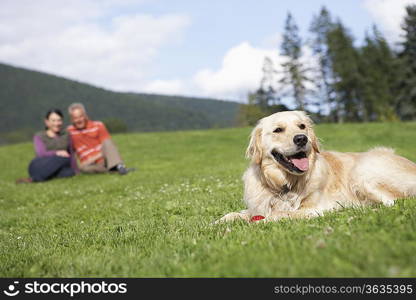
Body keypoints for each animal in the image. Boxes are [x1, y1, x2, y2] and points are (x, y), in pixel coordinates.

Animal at [218, 110, 416, 223]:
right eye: (278, 130)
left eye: (302, 126)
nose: (301, 138)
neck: (286, 184)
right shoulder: (257, 207)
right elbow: (232, 214)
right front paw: (217, 224)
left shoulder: (315, 208)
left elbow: (277, 214)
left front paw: (260, 221)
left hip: (363, 171)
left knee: (393, 202)